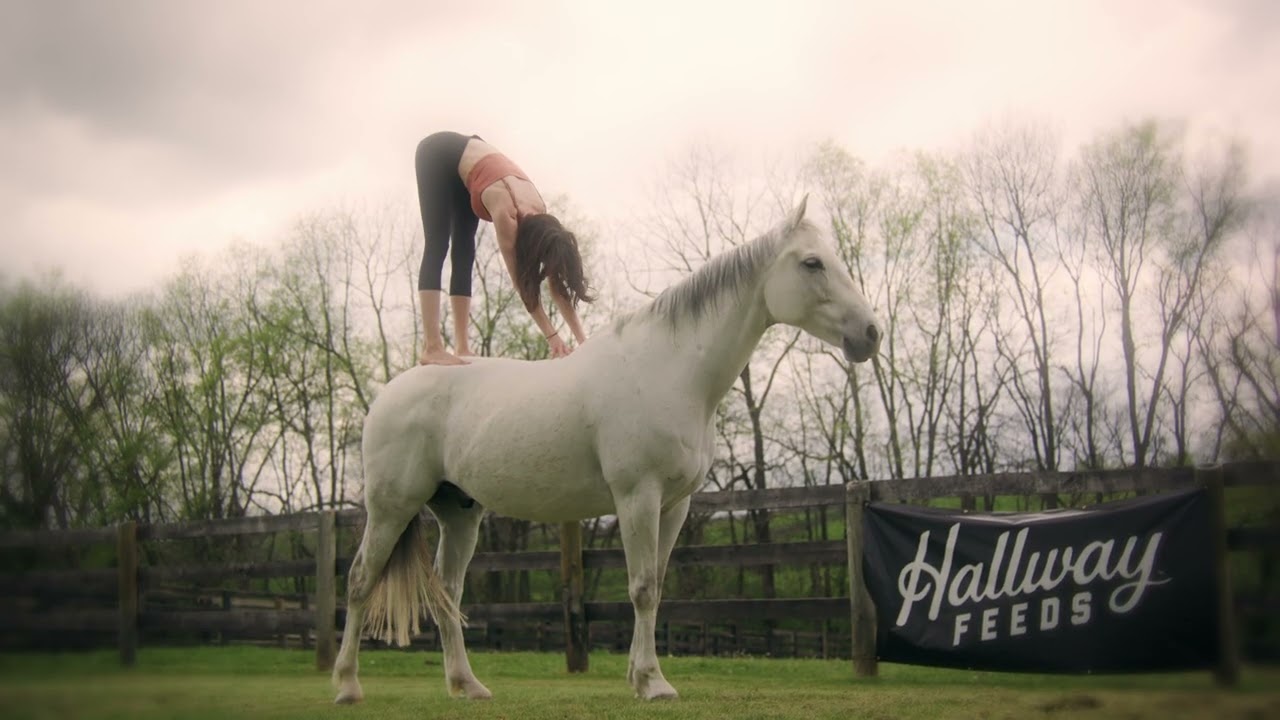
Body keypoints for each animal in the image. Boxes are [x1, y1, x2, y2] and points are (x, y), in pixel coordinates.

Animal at [332, 197, 882, 704]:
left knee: (448, 592)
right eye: (812, 262)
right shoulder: (637, 496)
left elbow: (656, 586)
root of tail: (390, 393)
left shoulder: (674, 505)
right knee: (359, 582)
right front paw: (653, 682)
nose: (871, 334)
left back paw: (467, 685)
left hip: (460, 513)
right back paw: (347, 685)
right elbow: (641, 588)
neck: (669, 368)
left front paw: (642, 676)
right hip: (392, 508)